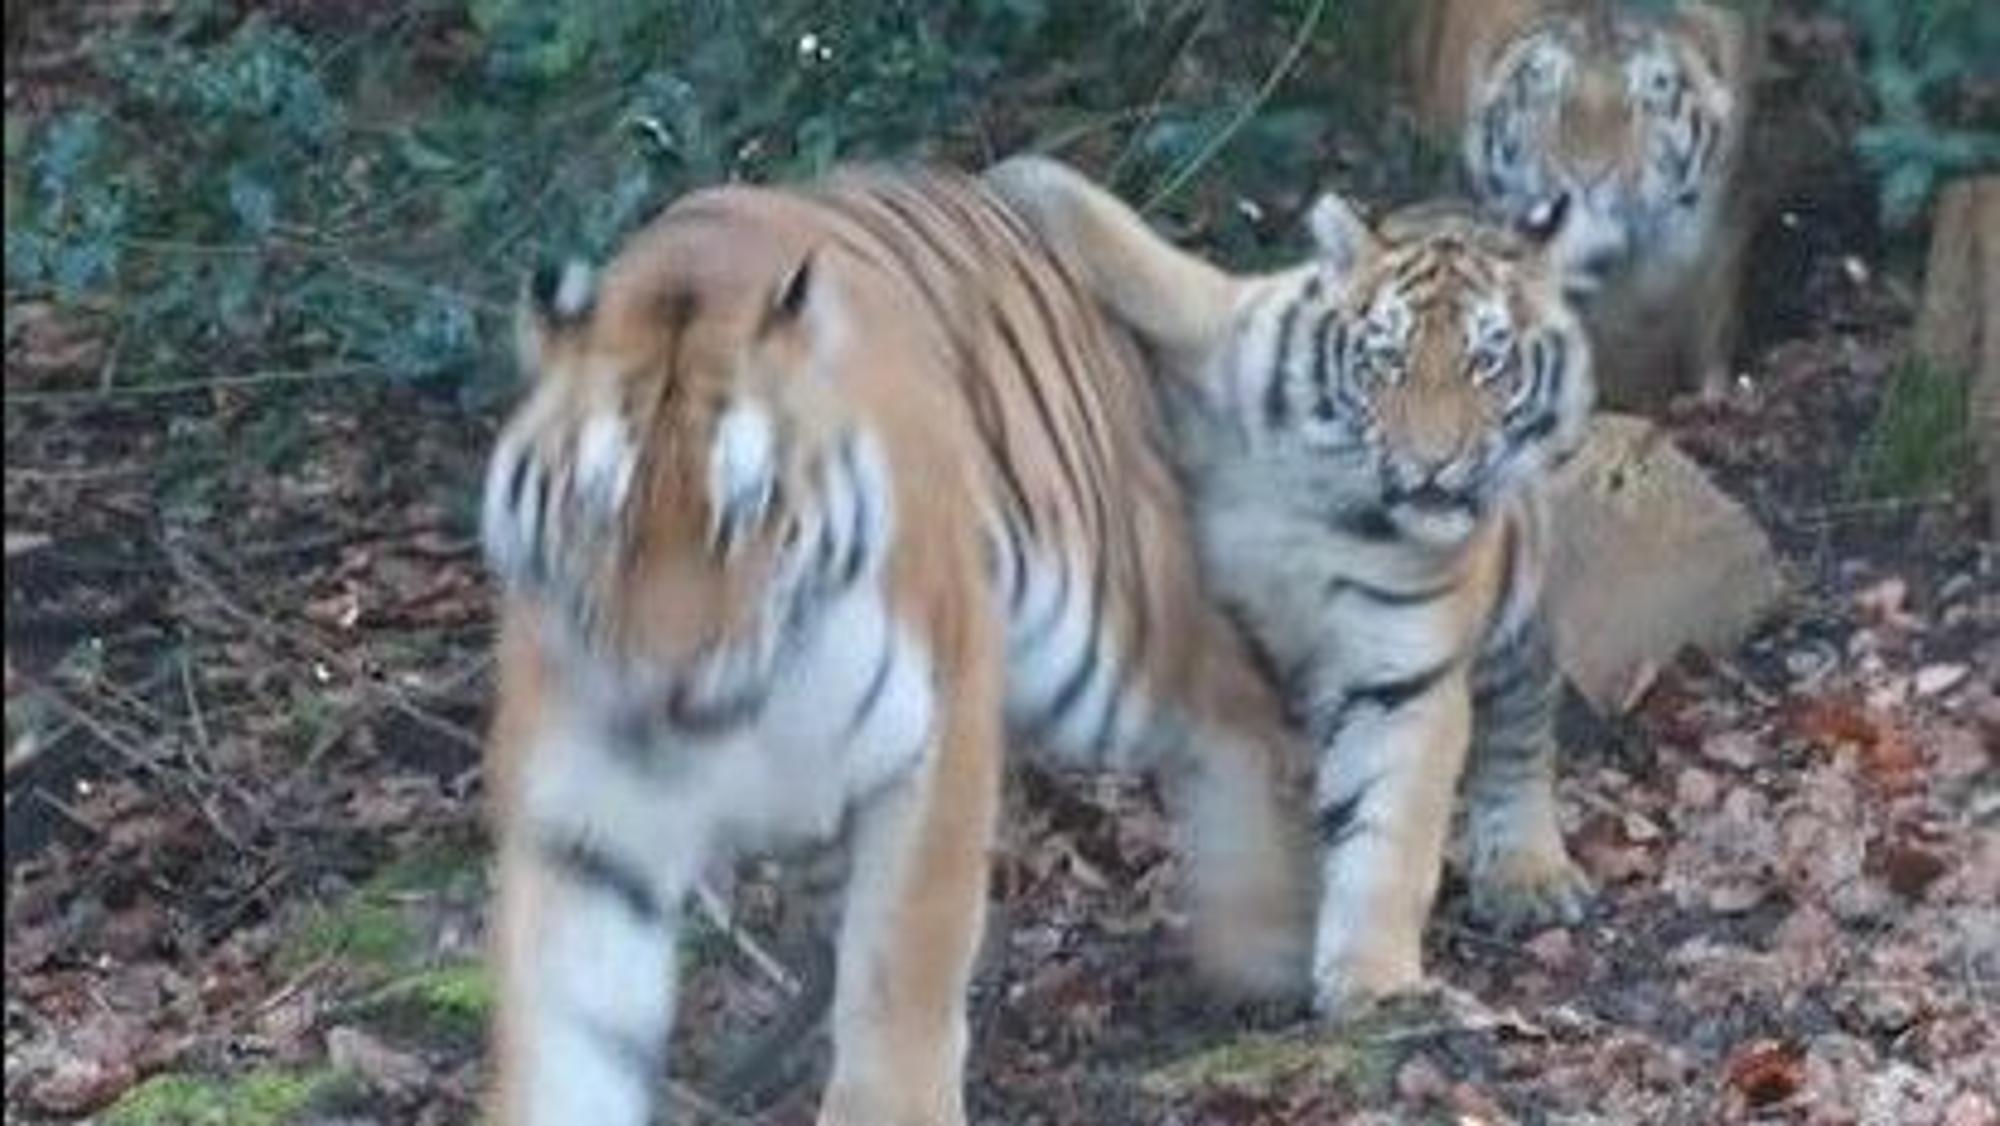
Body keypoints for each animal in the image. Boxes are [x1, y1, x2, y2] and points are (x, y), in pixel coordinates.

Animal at [478, 164, 1310, 1126]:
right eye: (599, 516)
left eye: (746, 515)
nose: (667, 681)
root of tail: (984, 187)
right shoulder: (585, 825)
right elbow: (570, 1035)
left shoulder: (939, 735)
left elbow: (901, 976)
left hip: (1101, 623)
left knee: (1233, 692)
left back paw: (1264, 945)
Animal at [985, 154, 1597, 1013]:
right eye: (1388, 360)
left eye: (1487, 363)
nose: (1433, 464)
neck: (1339, 498)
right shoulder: (1221, 320)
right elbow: (1116, 234)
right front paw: (1011, 181)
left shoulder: (1401, 677)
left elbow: (1387, 833)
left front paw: (1373, 983)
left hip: (1523, 604)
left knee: (1520, 722)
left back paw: (1528, 873)